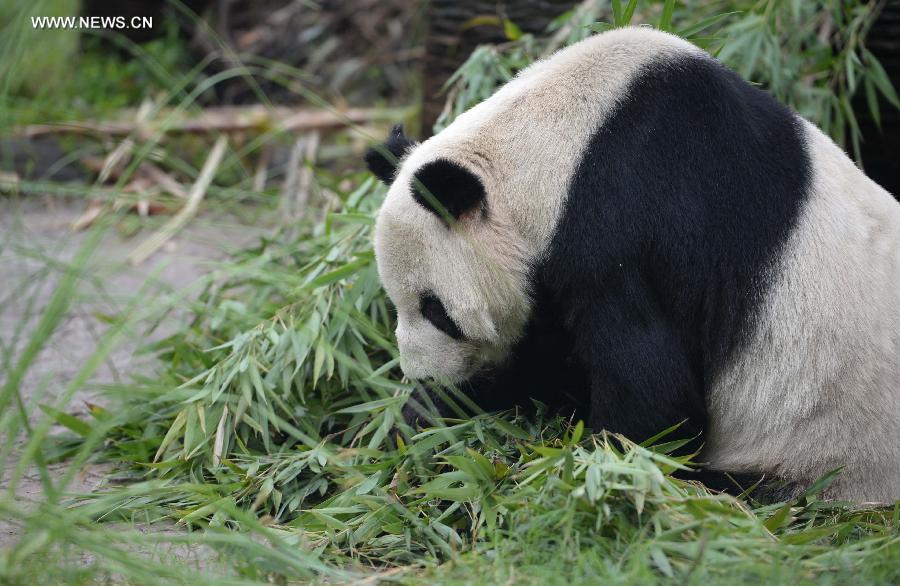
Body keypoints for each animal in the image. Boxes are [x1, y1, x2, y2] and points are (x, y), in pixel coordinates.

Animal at [364, 27, 900, 503]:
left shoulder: (622, 231)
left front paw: (584, 463)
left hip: (820, 458)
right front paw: (423, 416)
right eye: (396, 305)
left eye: (437, 311)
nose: (423, 375)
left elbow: (654, 398)